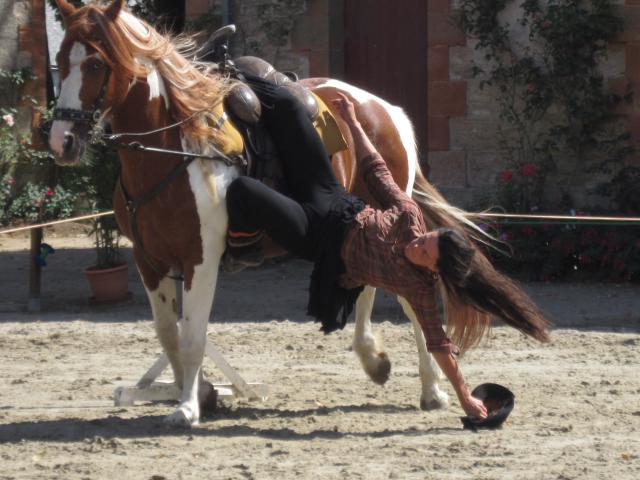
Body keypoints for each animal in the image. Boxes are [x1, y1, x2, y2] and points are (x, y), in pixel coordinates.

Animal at [47, 0, 472, 428]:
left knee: (409, 297)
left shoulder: (200, 258)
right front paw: (201, 392)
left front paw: (187, 408)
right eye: (60, 60)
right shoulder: (148, 260)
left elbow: (192, 337)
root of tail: (385, 110)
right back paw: (376, 360)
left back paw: (431, 389)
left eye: (96, 64)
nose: (61, 141)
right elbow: (169, 335)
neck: (176, 148)